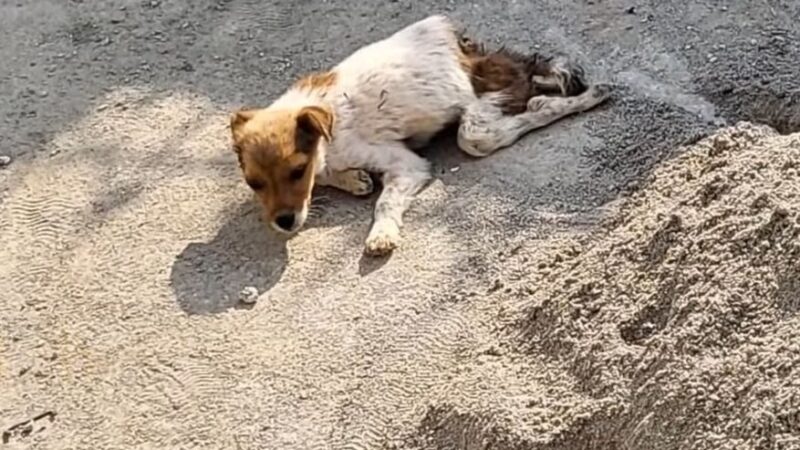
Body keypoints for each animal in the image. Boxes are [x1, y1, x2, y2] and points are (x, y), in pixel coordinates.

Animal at [231, 14, 612, 256]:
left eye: (296, 172)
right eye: (254, 183)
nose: (283, 223)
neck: (328, 133)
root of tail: (468, 46)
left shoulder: (406, 165)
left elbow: (385, 202)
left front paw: (382, 233)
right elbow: (330, 178)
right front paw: (354, 180)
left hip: (483, 111)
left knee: (520, 114)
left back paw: (584, 97)